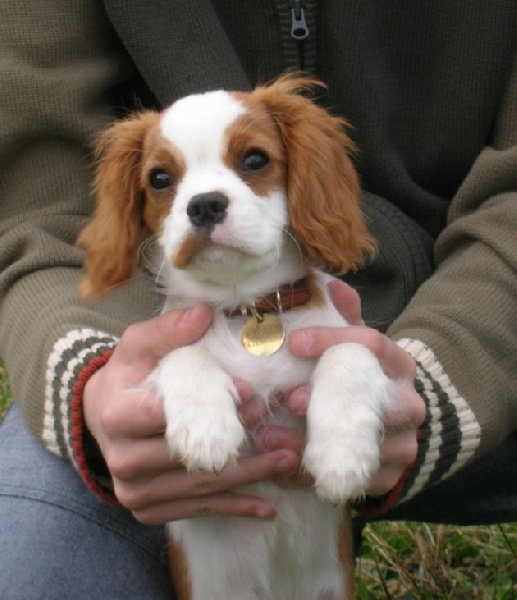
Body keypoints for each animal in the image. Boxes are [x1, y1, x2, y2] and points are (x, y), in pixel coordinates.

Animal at [77, 76, 392, 600]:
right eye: (159, 179)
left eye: (255, 160)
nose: (205, 204)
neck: (243, 307)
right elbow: (183, 355)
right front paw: (206, 431)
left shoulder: (349, 338)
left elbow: (348, 351)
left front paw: (341, 457)